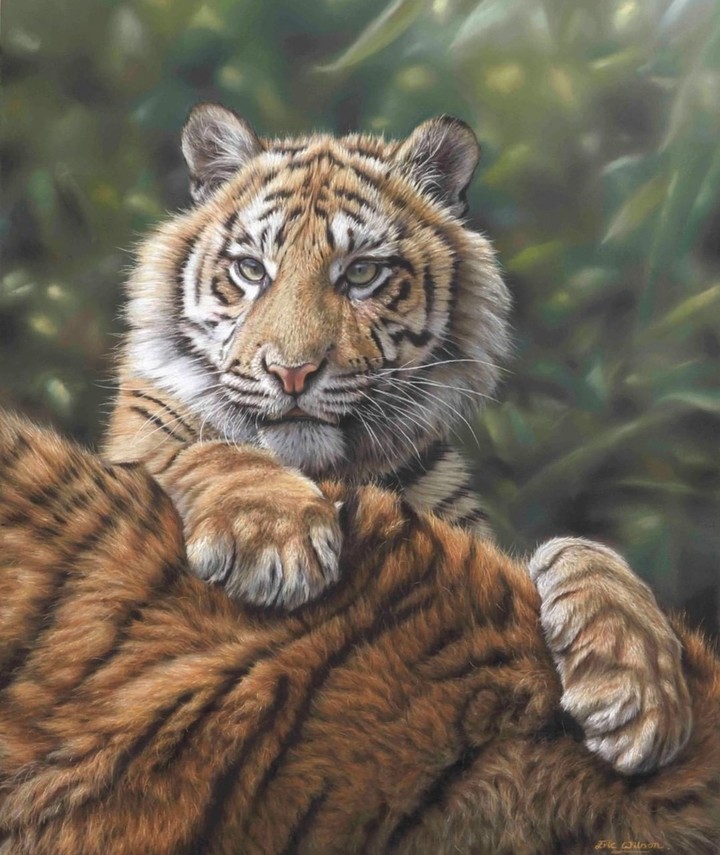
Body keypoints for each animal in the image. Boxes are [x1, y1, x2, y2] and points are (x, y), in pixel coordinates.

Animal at [104, 103, 691, 776]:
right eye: (251, 270)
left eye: (362, 273)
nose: (292, 373)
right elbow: (208, 448)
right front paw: (271, 540)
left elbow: (582, 549)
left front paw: (639, 690)